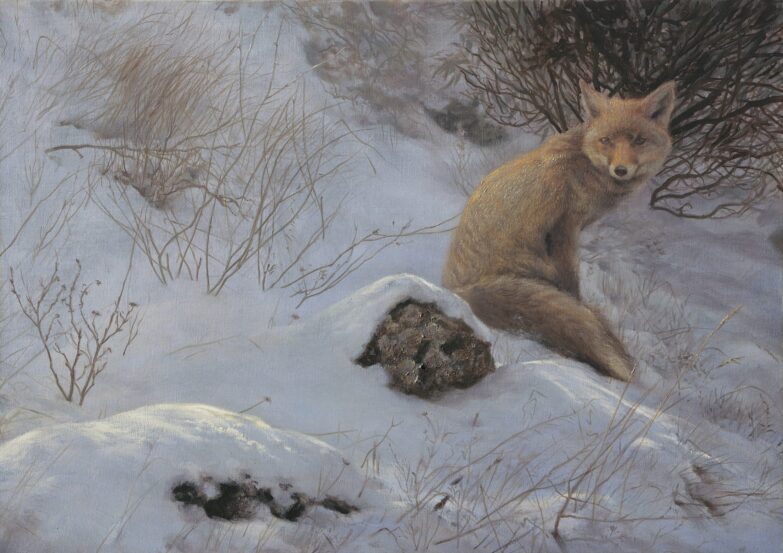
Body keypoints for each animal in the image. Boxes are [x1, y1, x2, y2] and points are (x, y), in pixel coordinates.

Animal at [443, 80, 676, 381]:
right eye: (607, 141)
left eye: (639, 140)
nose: (621, 170)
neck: (584, 162)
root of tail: (456, 291)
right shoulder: (565, 228)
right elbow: (571, 285)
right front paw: (580, 304)